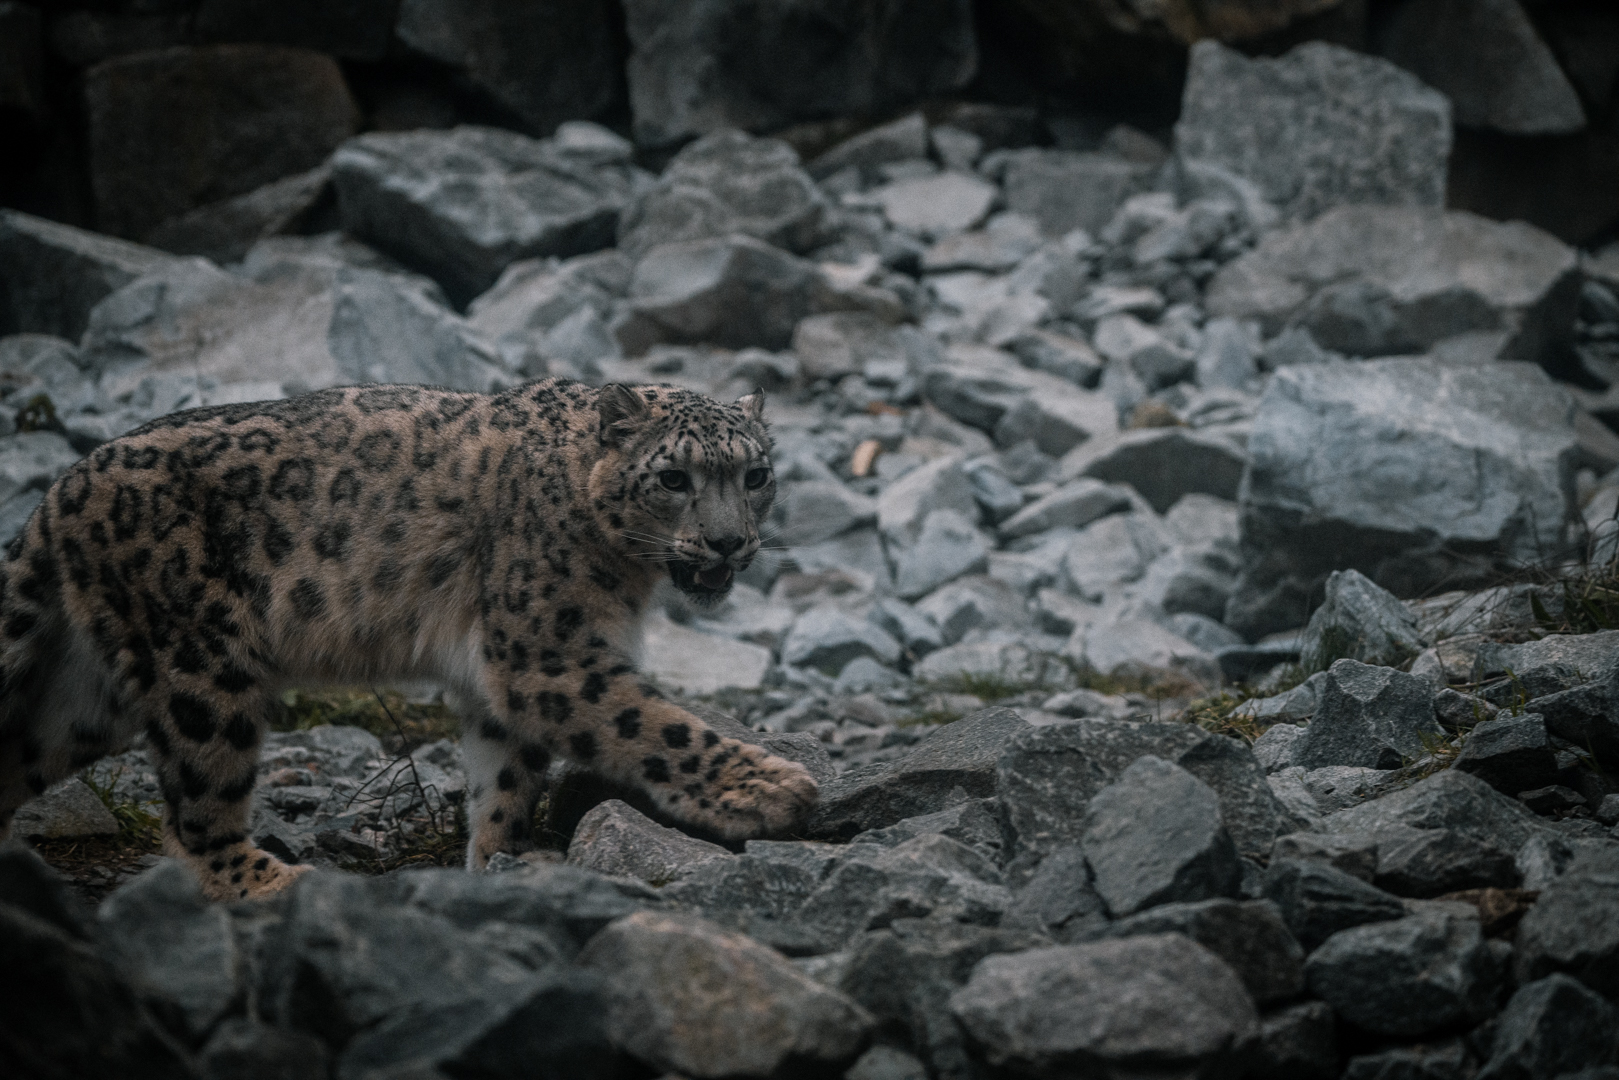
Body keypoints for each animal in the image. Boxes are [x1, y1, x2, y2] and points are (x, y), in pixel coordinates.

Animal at [0, 378, 818, 900]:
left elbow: (505, 776)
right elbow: (654, 726)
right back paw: (273, 881)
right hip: (202, 668)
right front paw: (770, 787)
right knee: (197, 809)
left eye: (755, 474)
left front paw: (498, 860)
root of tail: (61, 488)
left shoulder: (504, 672)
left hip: (88, 698)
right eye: (674, 477)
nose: (727, 543)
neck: (627, 574)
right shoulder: (548, 656)